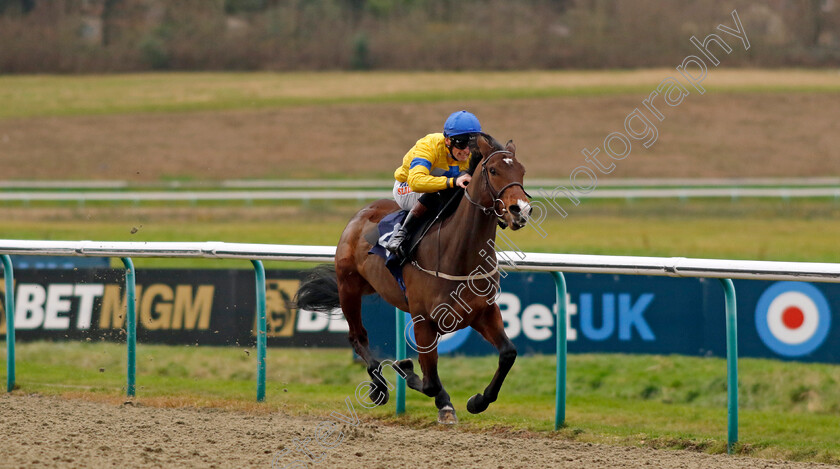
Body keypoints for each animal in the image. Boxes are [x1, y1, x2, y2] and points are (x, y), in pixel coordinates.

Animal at [296, 133, 532, 424]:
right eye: (494, 170)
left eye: (521, 171)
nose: (520, 210)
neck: (459, 254)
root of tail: (362, 213)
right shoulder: (423, 320)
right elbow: (429, 380)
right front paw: (418, 379)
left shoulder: (483, 312)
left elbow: (508, 353)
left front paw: (478, 400)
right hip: (348, 286)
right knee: (357, 336)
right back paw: (378, 387)